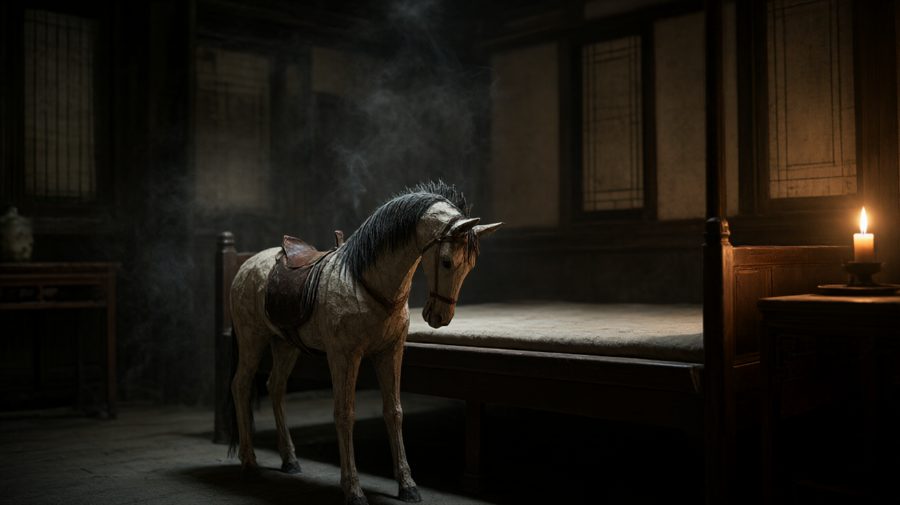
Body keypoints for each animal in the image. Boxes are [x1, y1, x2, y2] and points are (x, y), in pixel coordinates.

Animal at [226, 181, 502, 505]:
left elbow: (394, 412)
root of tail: (247, 264)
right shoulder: (344, 355)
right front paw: (353, 489)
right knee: (241, 386)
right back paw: (249, 461)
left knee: (275, 388)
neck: (364, 281)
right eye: (446, 262)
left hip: (286, 345)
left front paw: (407, 485)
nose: (439, 317)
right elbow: (345, 414)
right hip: (252, 338)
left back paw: (290, 460)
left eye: (470, 266)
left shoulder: (390, 352)